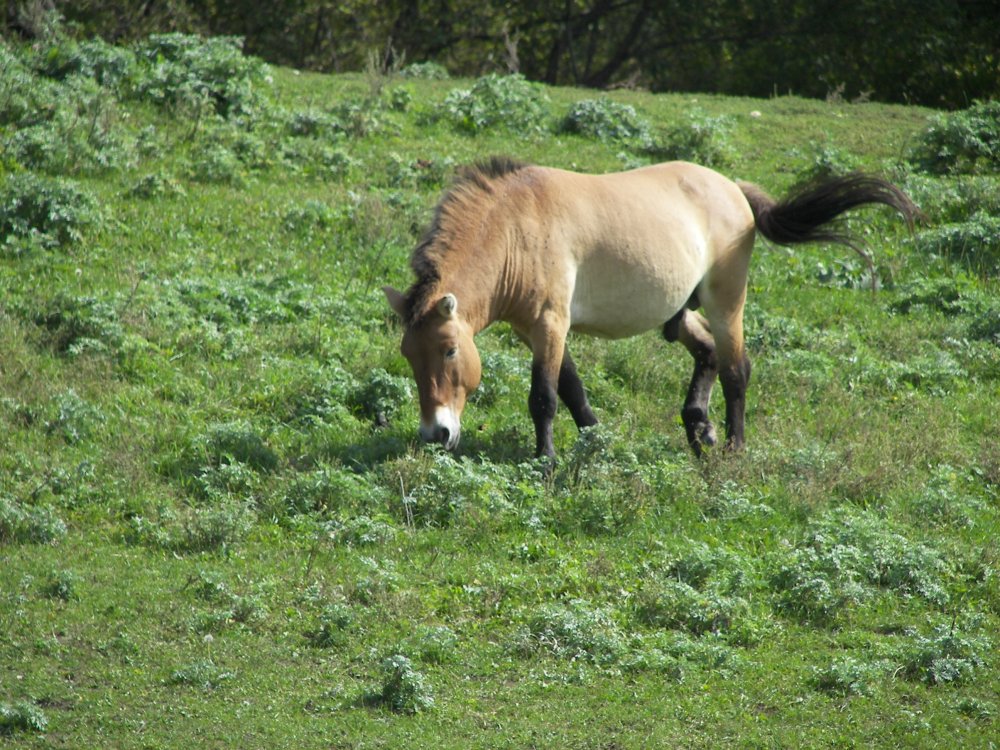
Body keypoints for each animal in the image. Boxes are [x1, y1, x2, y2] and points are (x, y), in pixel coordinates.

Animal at [386, 158, 916, 462]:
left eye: (449, 351)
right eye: (409, 356)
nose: (436, 434)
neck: (518, 228)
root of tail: (734, 189)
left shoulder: (550, 323)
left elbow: (545, 397)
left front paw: (547, 463)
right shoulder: (536, 329)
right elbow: (573, 390)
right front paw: (597, 442)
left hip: (726, 303)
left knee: (736, 369)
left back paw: (733, 447)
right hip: (678, 313)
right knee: (707, 354)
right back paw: (698, 427)